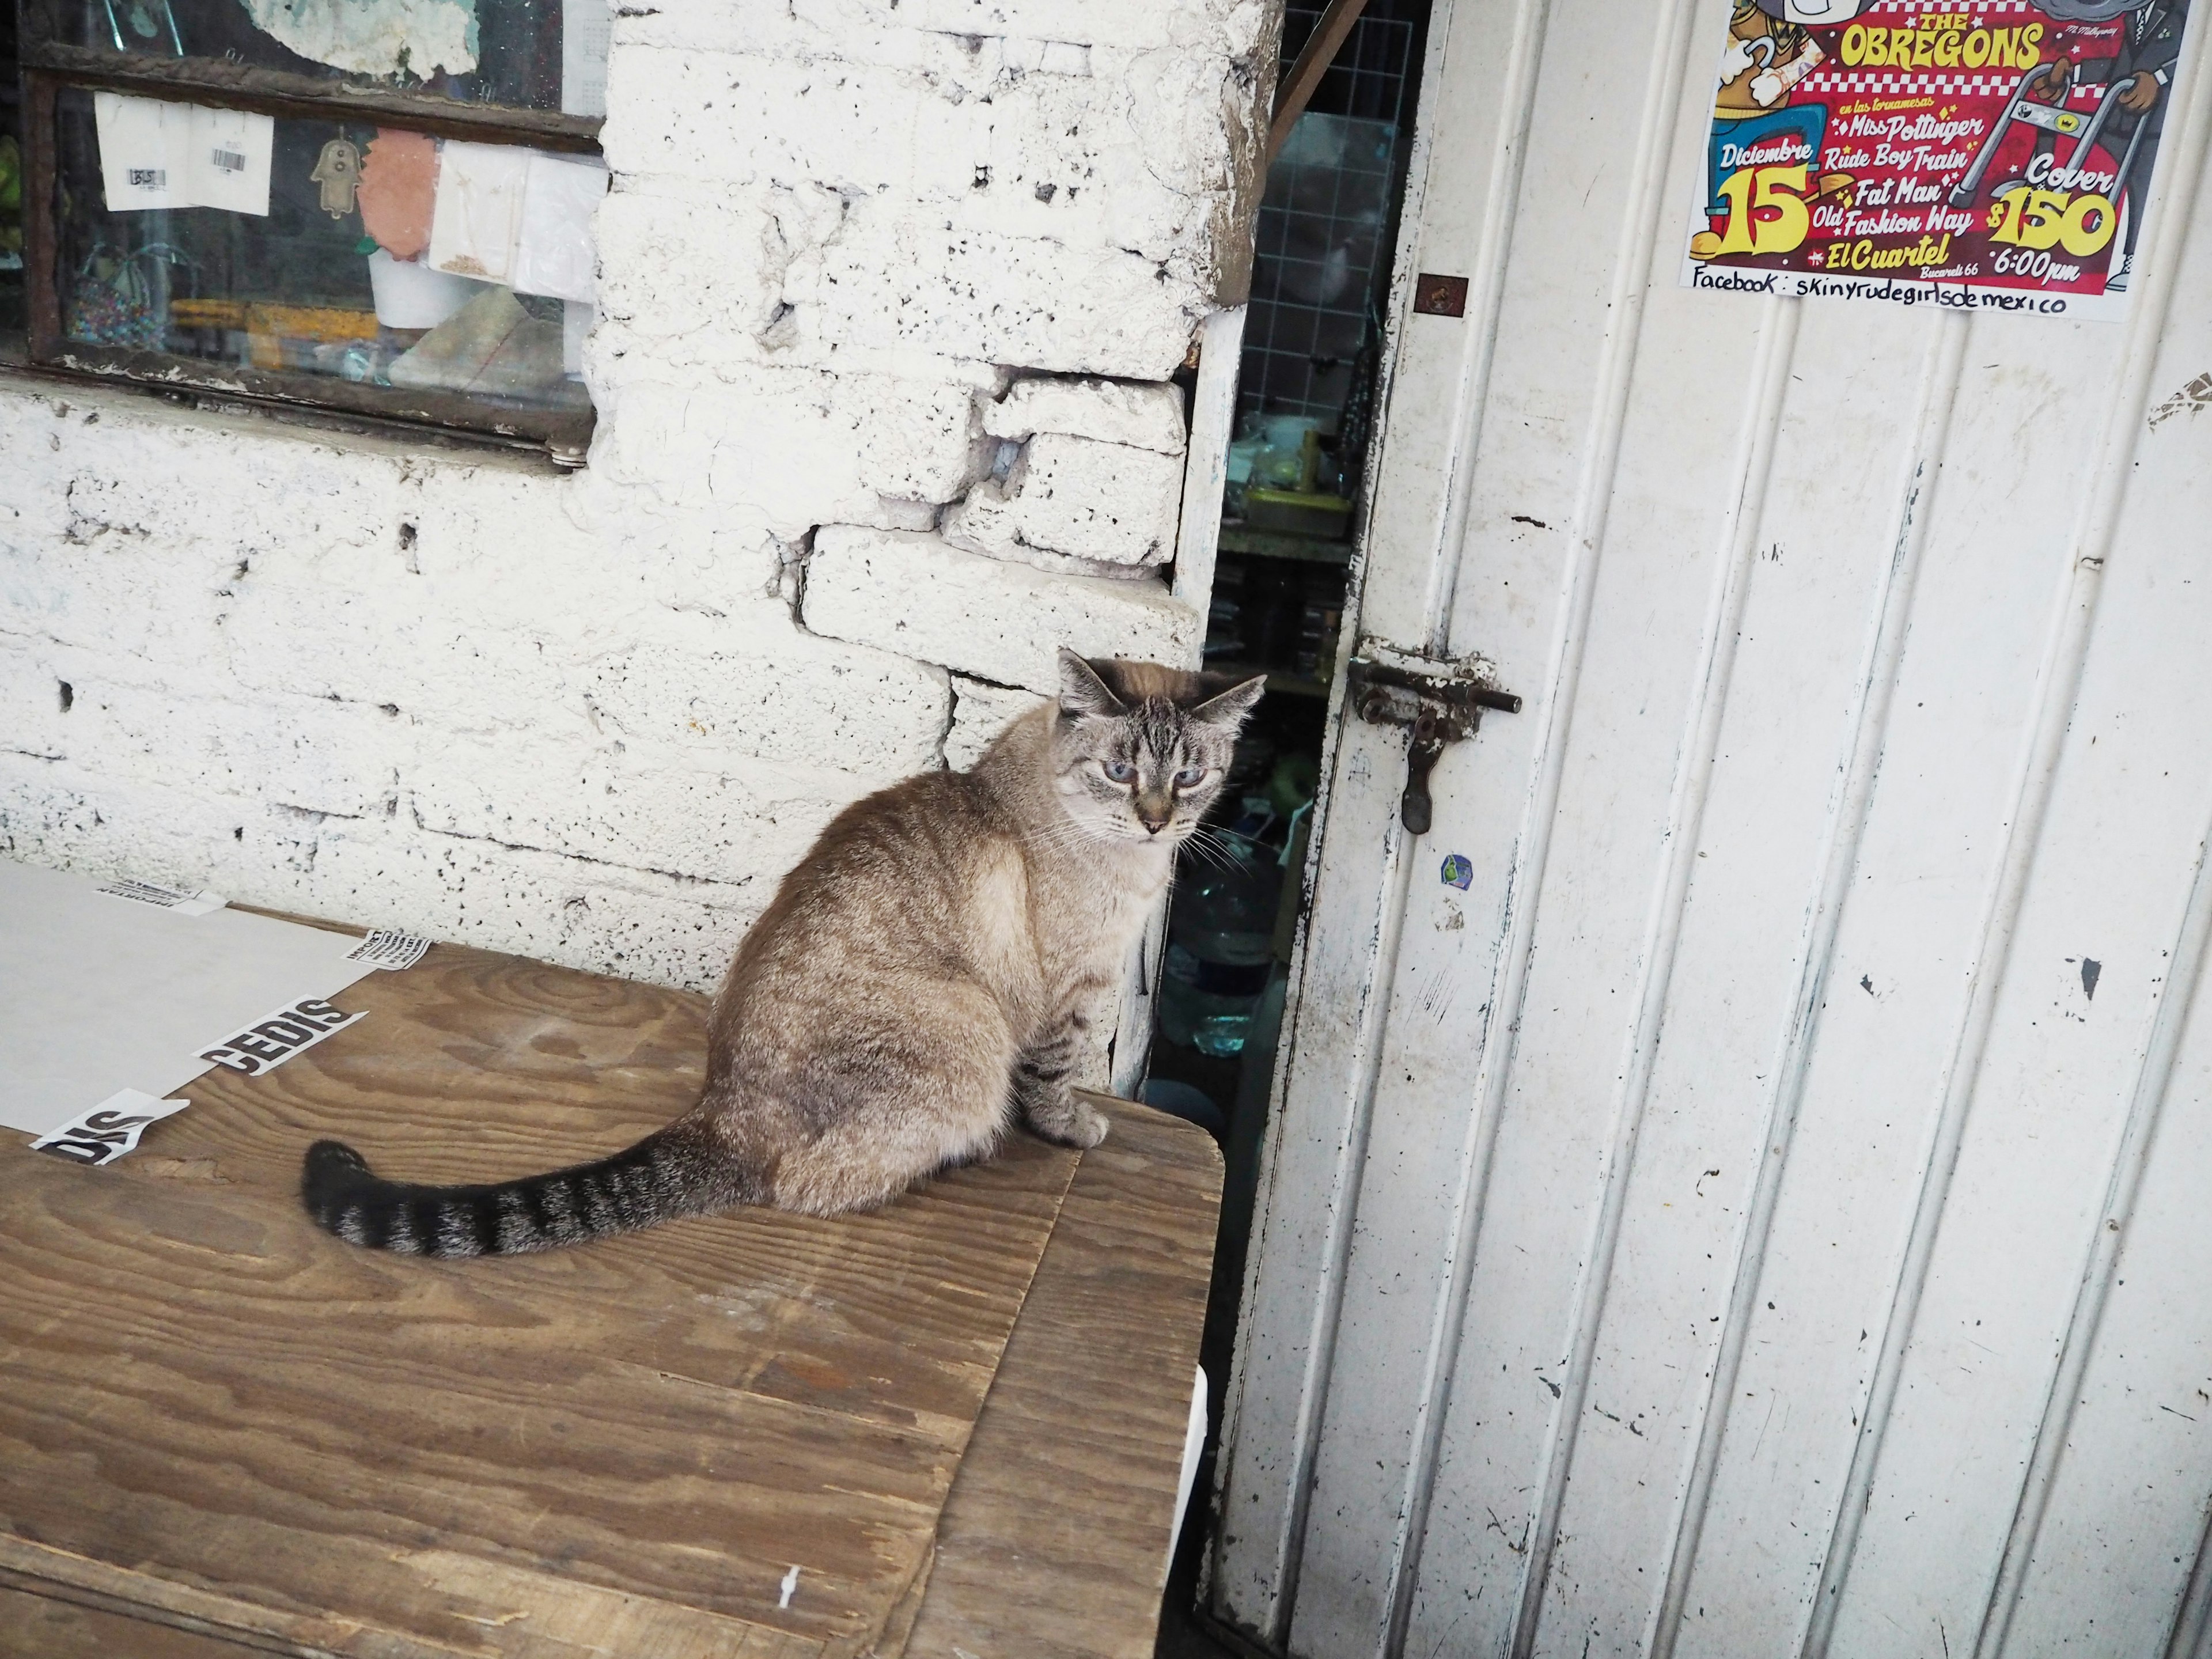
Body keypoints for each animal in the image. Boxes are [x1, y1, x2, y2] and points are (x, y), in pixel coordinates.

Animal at [303, 650, 1265, 1256]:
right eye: (1119, 771)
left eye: (1189, 776)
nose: (1157, 821)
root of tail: (718, 1112)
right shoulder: (1070, 993)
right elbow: (1058, 1077)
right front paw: (1074, 1129)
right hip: (968, 1032)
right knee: (809, 1186)